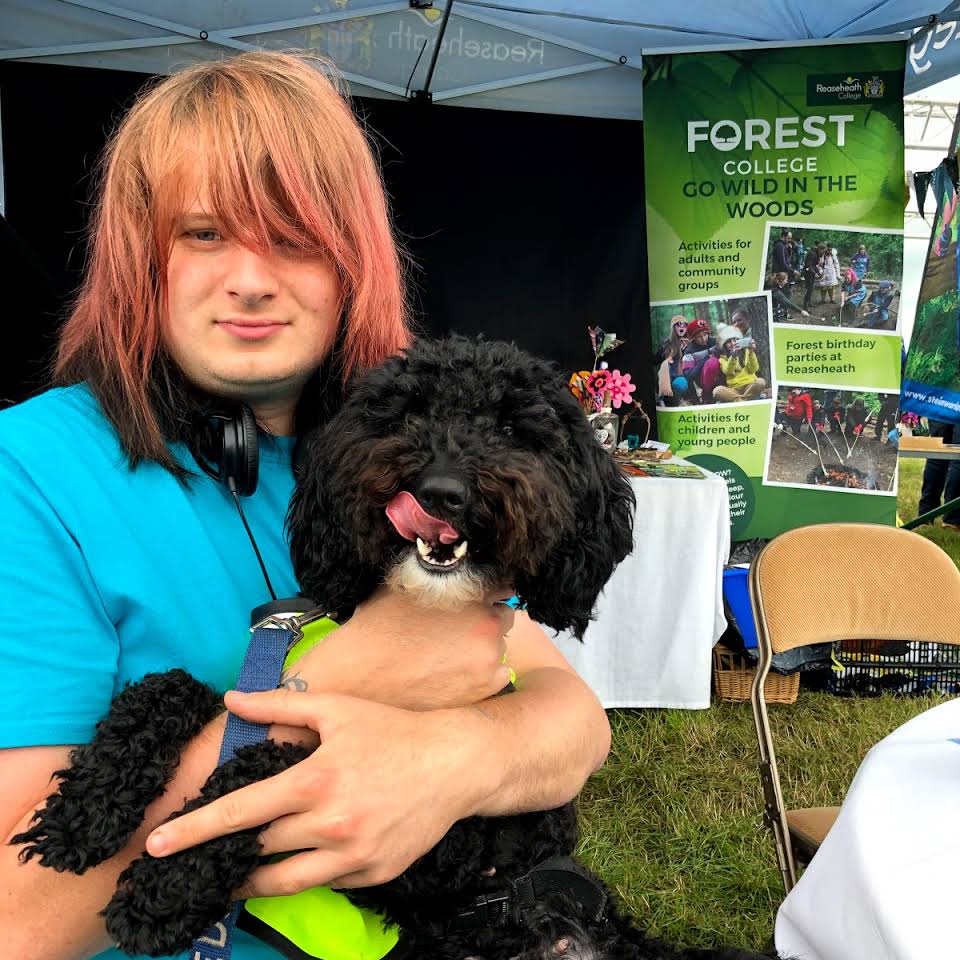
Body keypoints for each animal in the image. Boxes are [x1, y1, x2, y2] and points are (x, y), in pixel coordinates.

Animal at [11, 338, 772, 960]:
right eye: (405, 416)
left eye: (512, 429)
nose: (441, 491)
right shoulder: (247, 694)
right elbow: (163, 687)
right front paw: (80, 816)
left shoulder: (450, 839)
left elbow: (273, 764)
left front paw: (163, 883)